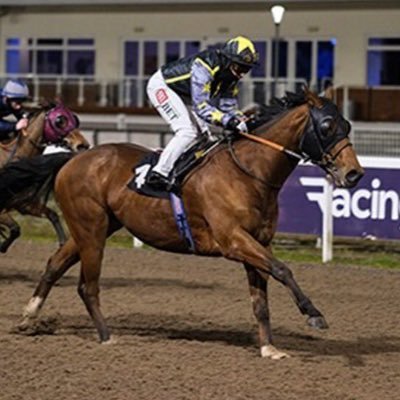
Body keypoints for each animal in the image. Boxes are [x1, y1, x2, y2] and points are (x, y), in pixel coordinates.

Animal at [0, 104, 87, 253]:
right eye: (60, 120)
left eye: (75, 119)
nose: (83, 144)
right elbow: (15, 228)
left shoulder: (23, 204)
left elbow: (52, 215)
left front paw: (62, 244)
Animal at [21, 90, 362, 360]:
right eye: (327, 126)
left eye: (347, 125)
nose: (354, 173)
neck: (249, 173)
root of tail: (72, 159)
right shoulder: (233, 241)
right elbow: (283, 270)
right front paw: (314, 315)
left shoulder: (257, 243)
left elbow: (261, 300)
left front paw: (269, 348)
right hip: (91, 230)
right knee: (87, 286)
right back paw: (106, 336)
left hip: (95, 228)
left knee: (55, 264)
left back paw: (28, 316)